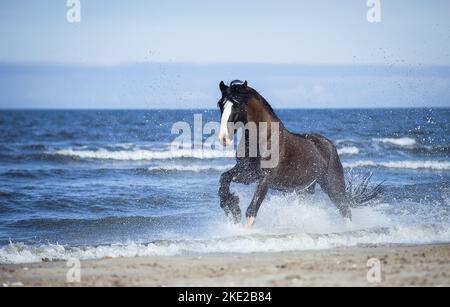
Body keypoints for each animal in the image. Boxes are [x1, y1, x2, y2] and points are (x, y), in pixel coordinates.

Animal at [216, 80, 382, 230]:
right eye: (220, 104)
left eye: (237, 104)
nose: (223, 138)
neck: (264, 138)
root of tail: (329, 145)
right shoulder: (248, 173)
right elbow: (224, 178)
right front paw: (232, 208)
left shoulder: (266, 177)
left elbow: (253, 208)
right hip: (305, 190)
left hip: (333, 186)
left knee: (345, 209)